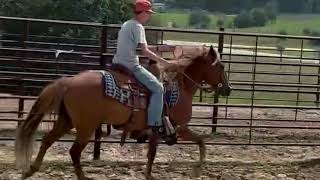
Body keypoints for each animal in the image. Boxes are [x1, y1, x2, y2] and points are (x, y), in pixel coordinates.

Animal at [15, 45, 231, 180]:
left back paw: (30, 170)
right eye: (221, 66)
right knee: (74, 151)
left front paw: (149, 174)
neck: (182, 87)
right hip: (85, 127)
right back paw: (83, 176)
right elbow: (201, 142)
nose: (228, 89)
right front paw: (198, 169)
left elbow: (152, 153)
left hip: (66, 121)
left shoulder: (156, 132)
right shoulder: (179, 127)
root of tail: (68, 82)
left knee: (47, 141)